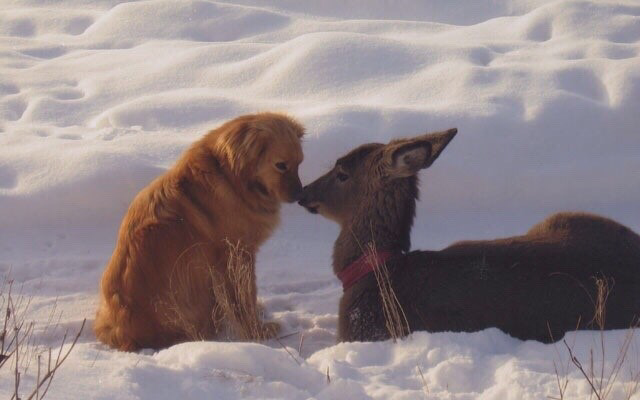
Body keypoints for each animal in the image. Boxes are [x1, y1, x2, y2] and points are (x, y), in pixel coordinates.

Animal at [94, 112, 305, 351]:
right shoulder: (235, 256)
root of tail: (121, 332)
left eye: (299, 164)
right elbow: (244, 299)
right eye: (281, 165)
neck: (231, 177)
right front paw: (257, 332)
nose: (301, 195)